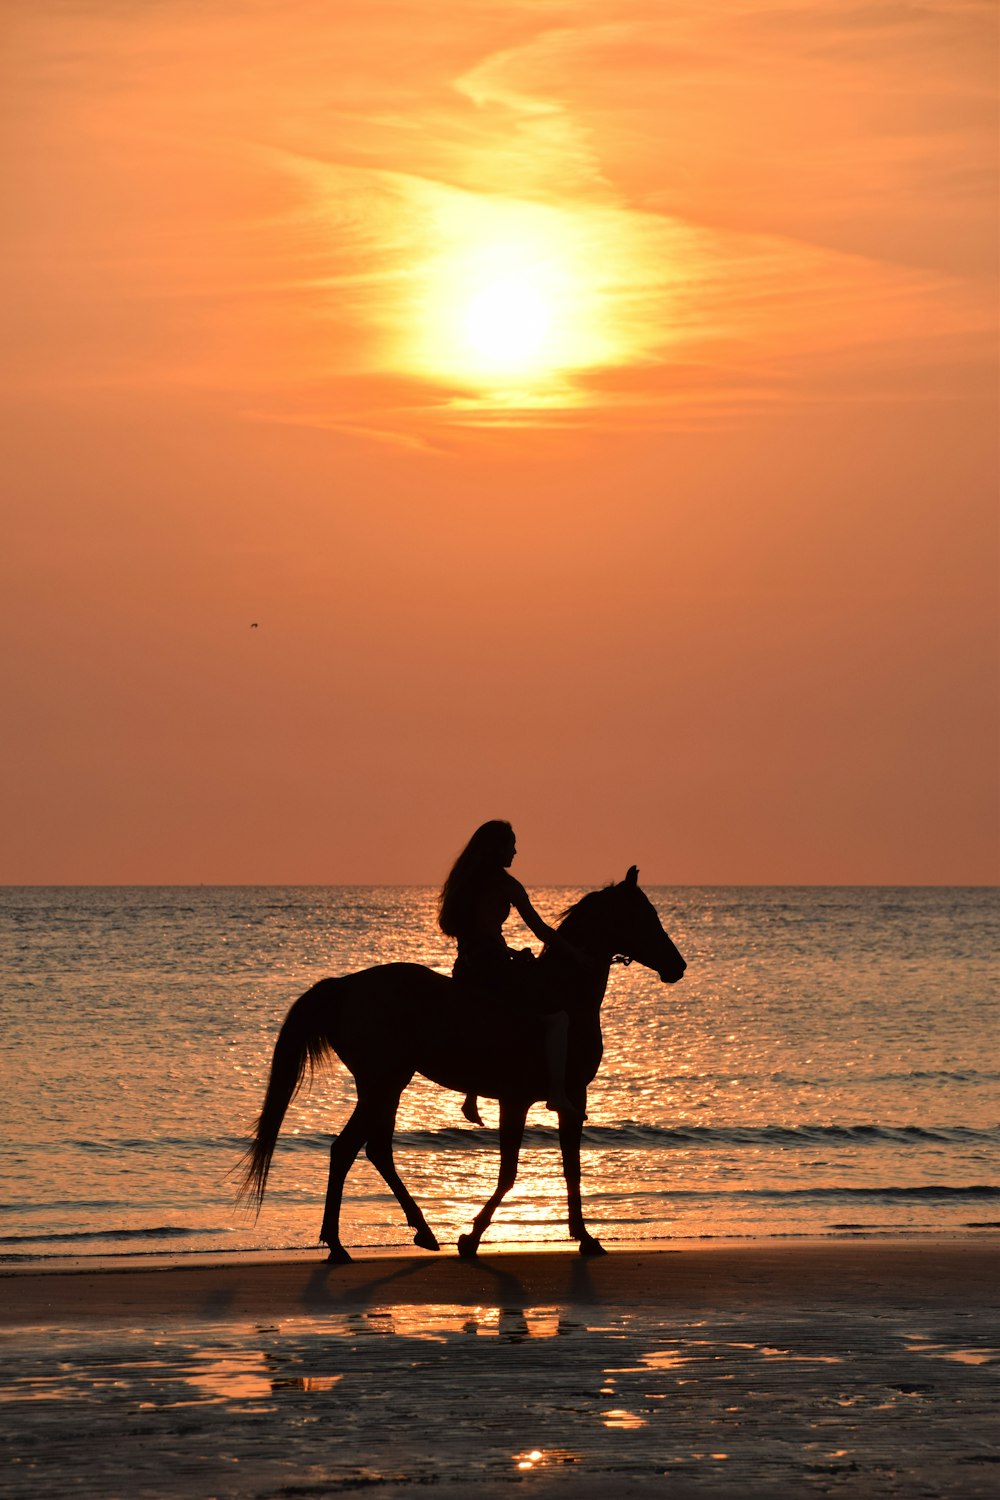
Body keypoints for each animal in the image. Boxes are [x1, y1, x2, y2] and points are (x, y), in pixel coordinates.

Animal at [238, 864, 683, 1260]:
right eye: (645, 916)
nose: (678, 965)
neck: (563, 993)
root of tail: (347, 986)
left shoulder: (570, 1099)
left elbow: (570, 1168)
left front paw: (584, 1237)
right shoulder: (522, 1100)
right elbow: (509, 1172)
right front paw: (473, 1236)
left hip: (385, 1086)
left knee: (376, 1150)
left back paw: (420, 1231)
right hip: (383, 1083)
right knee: (346, 1150)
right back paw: (338, 1243)